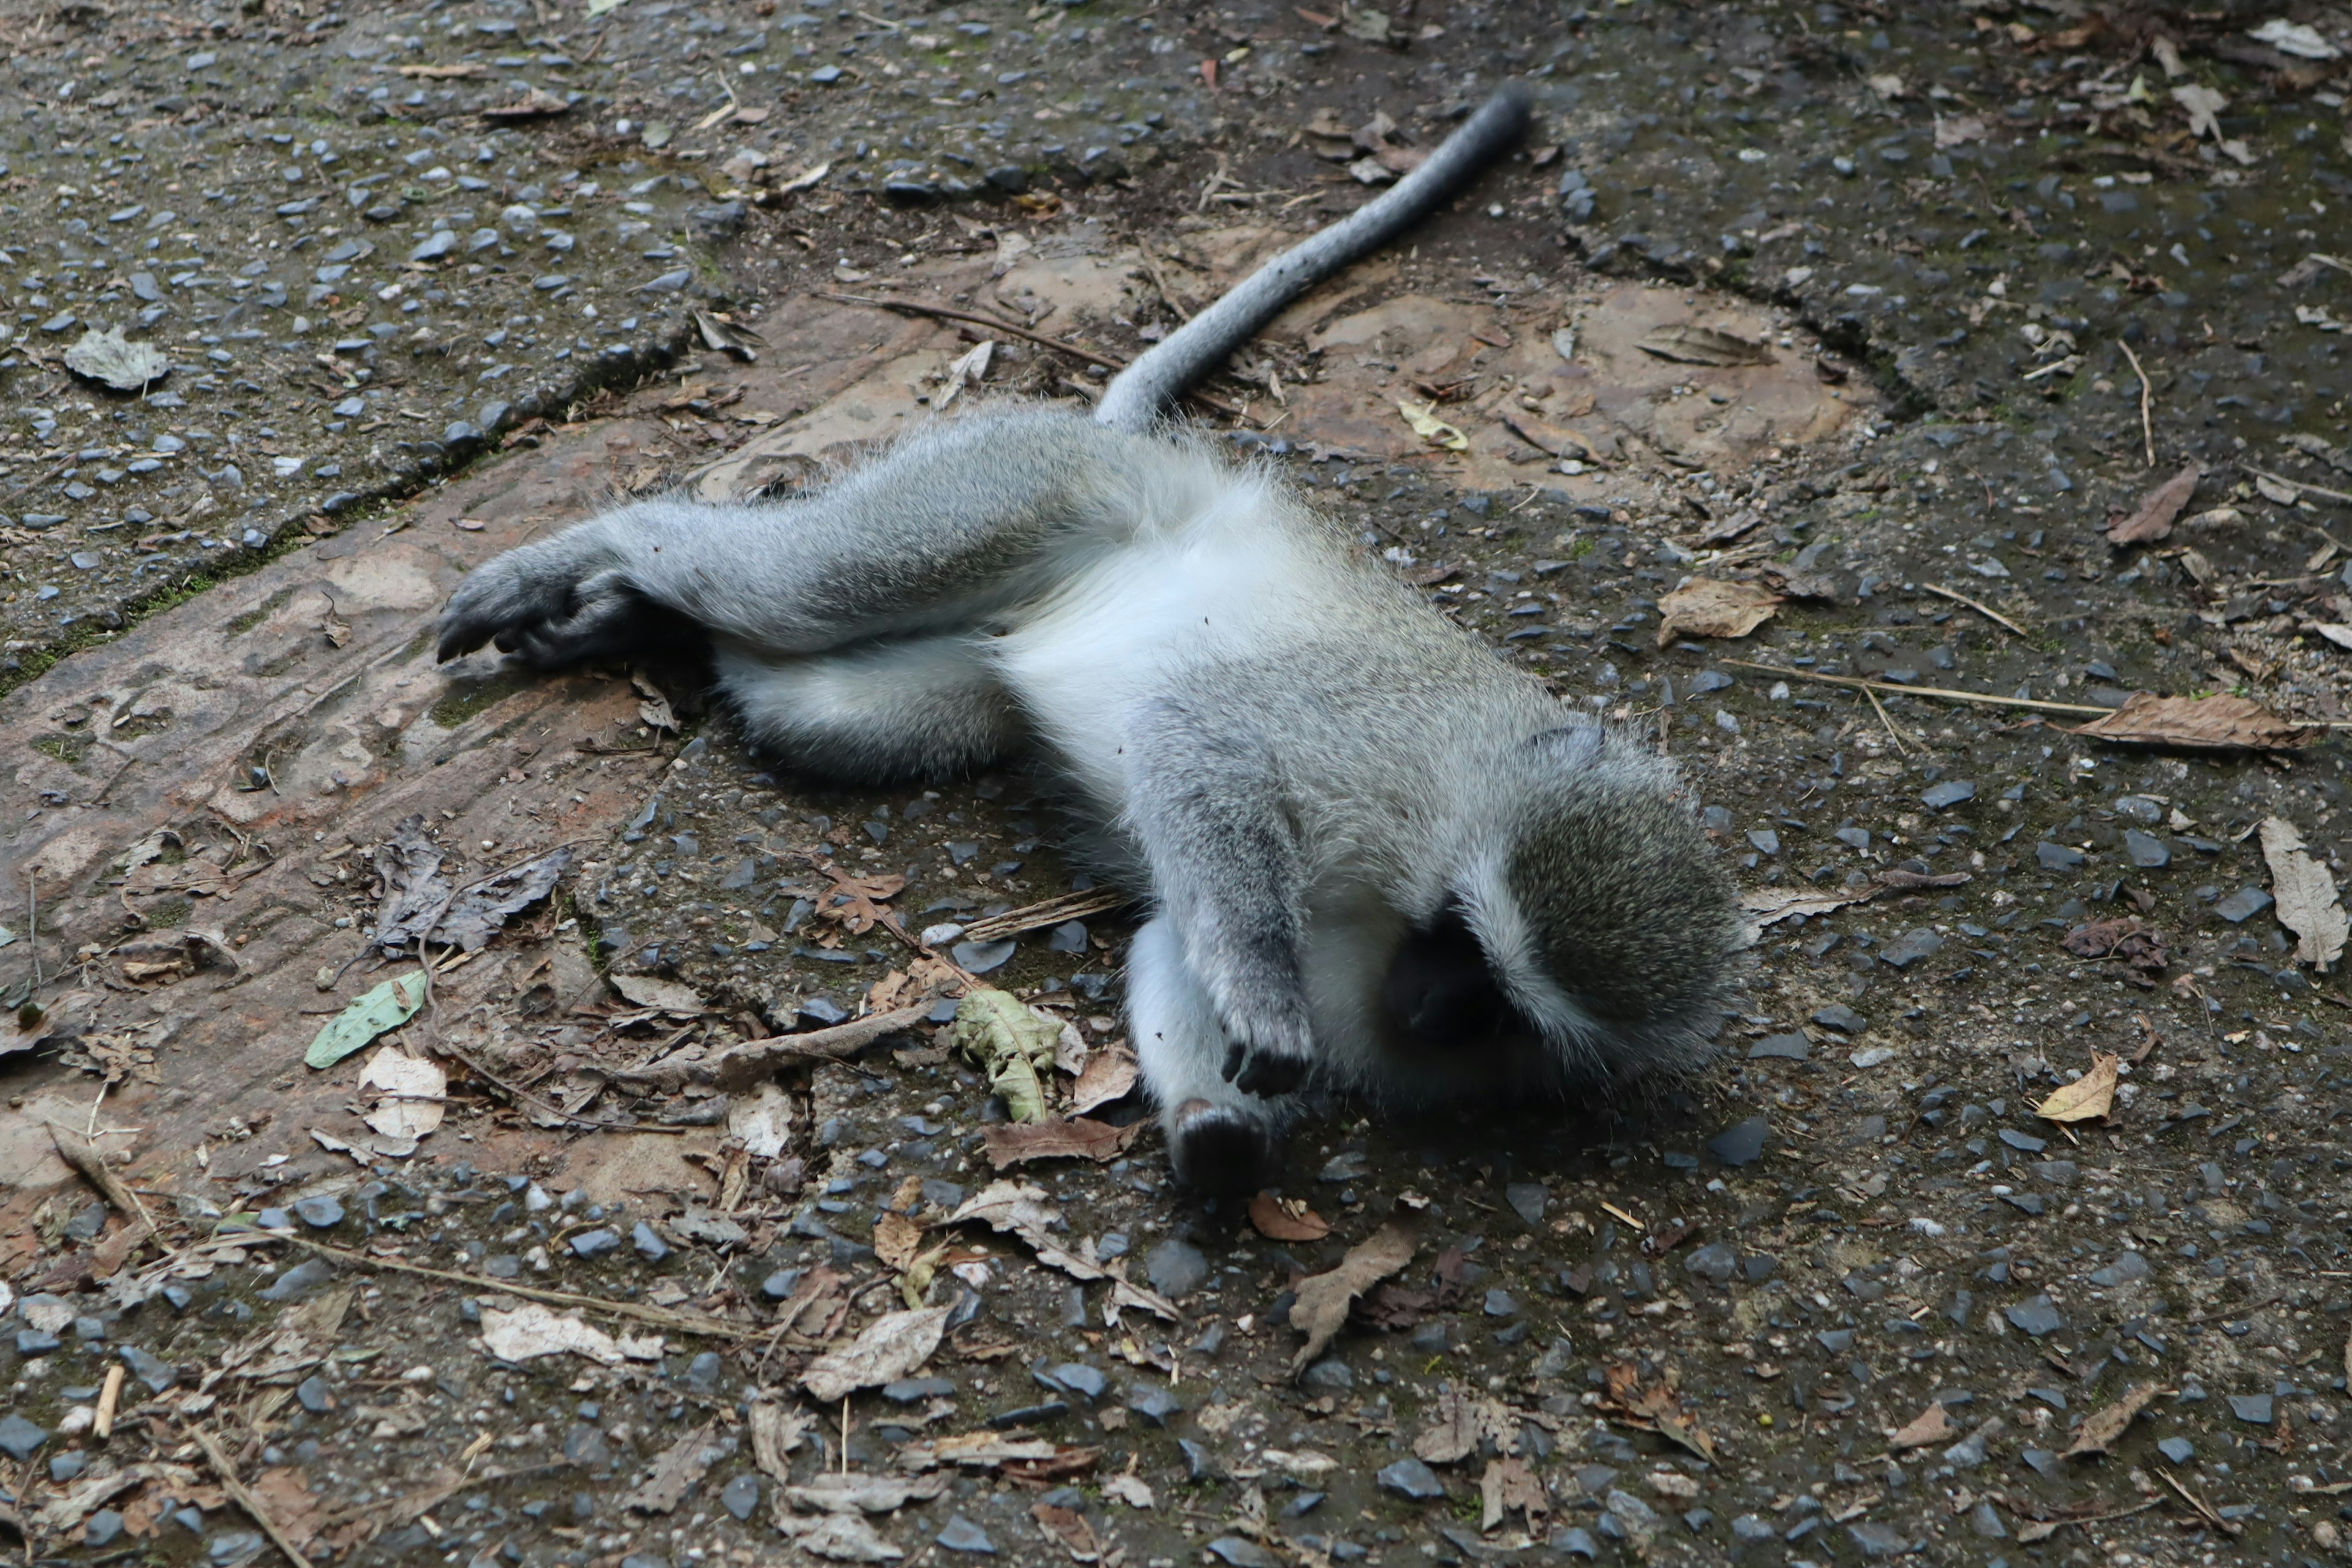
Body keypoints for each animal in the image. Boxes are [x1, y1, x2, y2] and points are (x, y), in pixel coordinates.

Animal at [432, 83, 1740, 1189]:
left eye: (1503, 1010)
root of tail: (1136, 452)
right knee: (791, 585)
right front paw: (1262, 1002)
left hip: (976, 639)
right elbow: (1198, 734)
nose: (1424, 1015)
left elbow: (1169, 938)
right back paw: (603, 552)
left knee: (814, 703)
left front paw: (1219, 1130)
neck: (1449, 828)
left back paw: (655, 624)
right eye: (1466, 939)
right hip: (1020, 488)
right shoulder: (1374, 748)